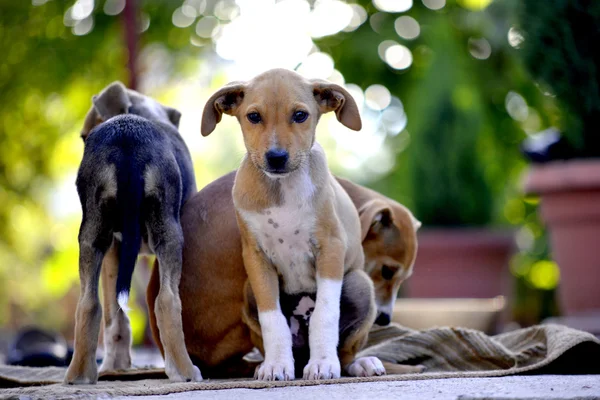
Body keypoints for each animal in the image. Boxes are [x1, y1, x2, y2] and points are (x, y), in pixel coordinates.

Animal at [64, 82, 202, 384]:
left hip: (92, 235)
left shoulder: (115, 251)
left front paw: (116, 366)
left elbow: (115, 315)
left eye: (84, 137)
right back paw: (184, 371)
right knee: (166, 301)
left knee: (88, 304)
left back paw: (80, 374)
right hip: (169, 234)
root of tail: (127, 139)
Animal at [197, 69, 384, 382]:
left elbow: (325, 314)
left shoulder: (330, 248)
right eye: (254, 116)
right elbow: (272, 319)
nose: (276, 157)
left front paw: (323, 363)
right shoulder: (256, 258)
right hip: (248, 290)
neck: (281, 189)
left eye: (300, 115)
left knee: (346, 352)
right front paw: (276, 365)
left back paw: (360, 364)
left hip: (360, 284)